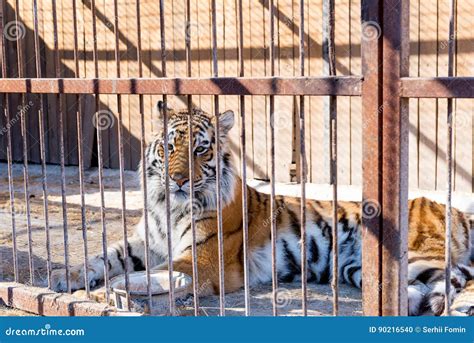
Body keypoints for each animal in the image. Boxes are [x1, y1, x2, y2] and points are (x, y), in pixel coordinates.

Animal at [50, 102, 472, 318]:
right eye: (169, 148)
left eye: (199, 150)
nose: (179, 180)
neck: (169, 207)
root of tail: (449, 207)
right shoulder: (143, 242)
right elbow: (103, 257)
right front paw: (65, 276)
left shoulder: (202, 259)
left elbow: (156, 274)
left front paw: (112, 292)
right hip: (359, 268)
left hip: (416, 255)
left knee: (460, 280)